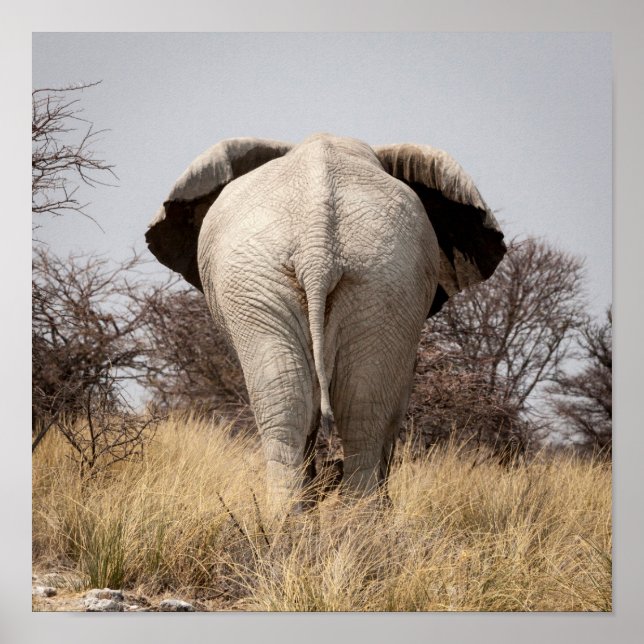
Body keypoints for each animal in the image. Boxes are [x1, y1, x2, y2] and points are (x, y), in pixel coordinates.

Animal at [146, 133, 506, 513]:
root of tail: (318, 246)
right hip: (293, 279)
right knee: (334, 406)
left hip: (371, 280)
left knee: (326, 404)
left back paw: (315, 520)